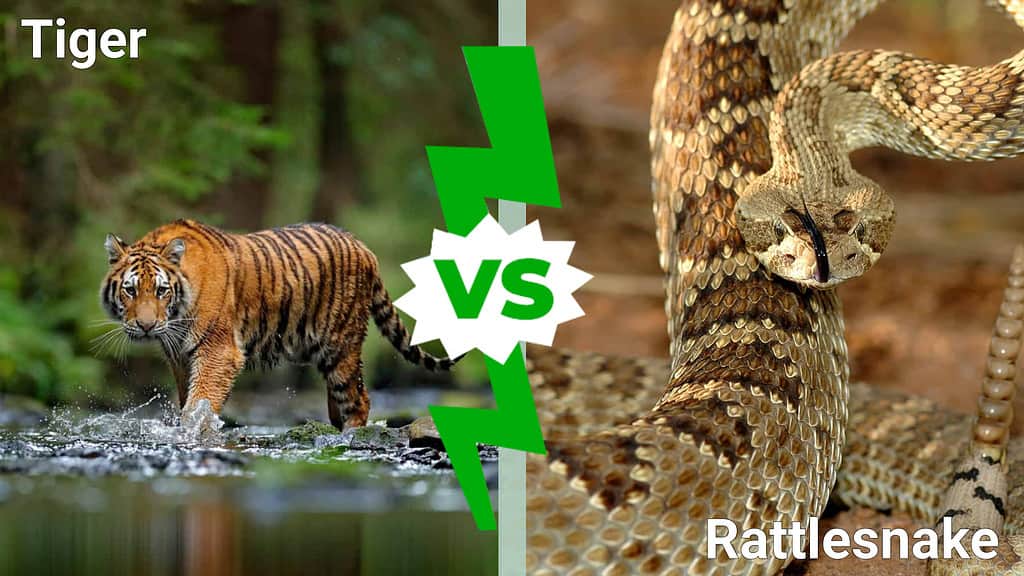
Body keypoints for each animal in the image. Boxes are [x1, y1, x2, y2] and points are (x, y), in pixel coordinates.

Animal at [100, 219, 459, 430]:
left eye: (162, 290)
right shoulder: (179, 356)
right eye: (130, 290)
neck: (175, 317)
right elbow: (186, 397)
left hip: (340, 346)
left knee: (359, 400)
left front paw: (192, 432)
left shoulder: (219, 351)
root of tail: (364, 247)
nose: (146, 326)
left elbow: (199, 403)